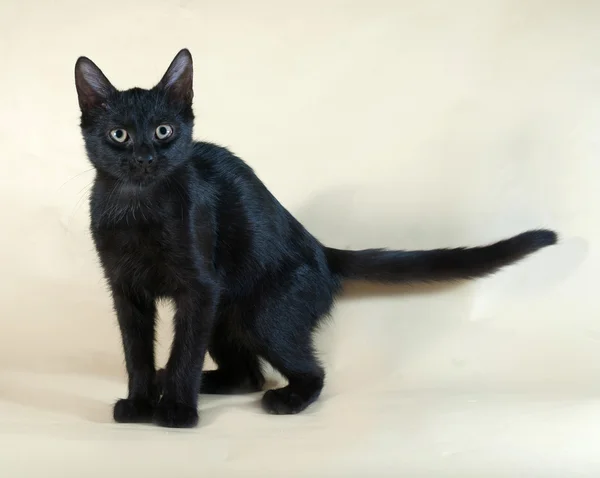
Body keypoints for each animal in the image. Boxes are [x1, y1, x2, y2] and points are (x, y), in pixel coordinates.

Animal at [74, 49, 556, 430]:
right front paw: (140, 402)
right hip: (228, 314)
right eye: (119, 134)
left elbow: (184, 352)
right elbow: (136, 351)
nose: (144, 157)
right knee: (248, 374)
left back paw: (280, 399)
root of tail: (323, 252)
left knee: (308, 372)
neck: (138, 208)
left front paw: (175, 410)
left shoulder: (200, 289)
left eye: (163, 131)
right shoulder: (126, 291)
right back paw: (188, 382)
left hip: (261, 314)